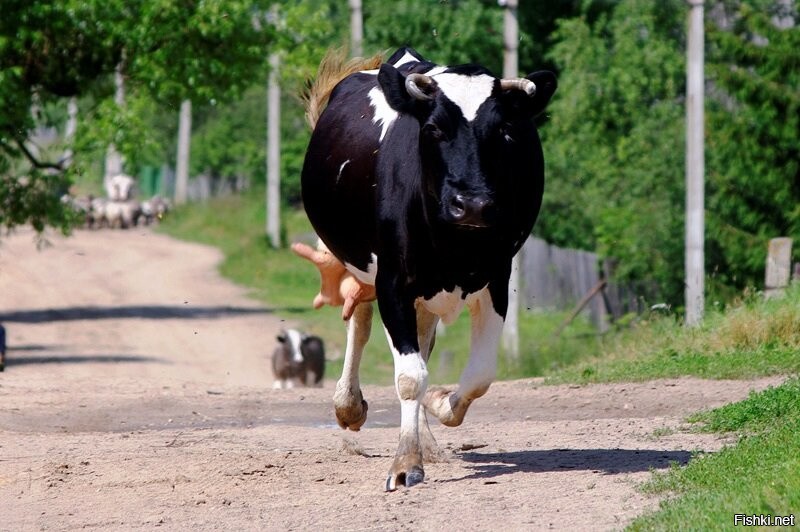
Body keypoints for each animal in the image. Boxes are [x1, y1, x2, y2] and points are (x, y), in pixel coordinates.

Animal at [296, 48, 552, 490]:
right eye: (433, 129)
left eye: (504, 130)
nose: (473, 204)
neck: (454, 245)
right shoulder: (394, 283)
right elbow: (410, 377)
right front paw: (404, 462)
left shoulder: (496, 280)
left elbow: (478, 375)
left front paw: (436, 408)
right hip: (368, 266)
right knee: (361, 321)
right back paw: (349, 405)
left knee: (423, 344)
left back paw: (426, 438)